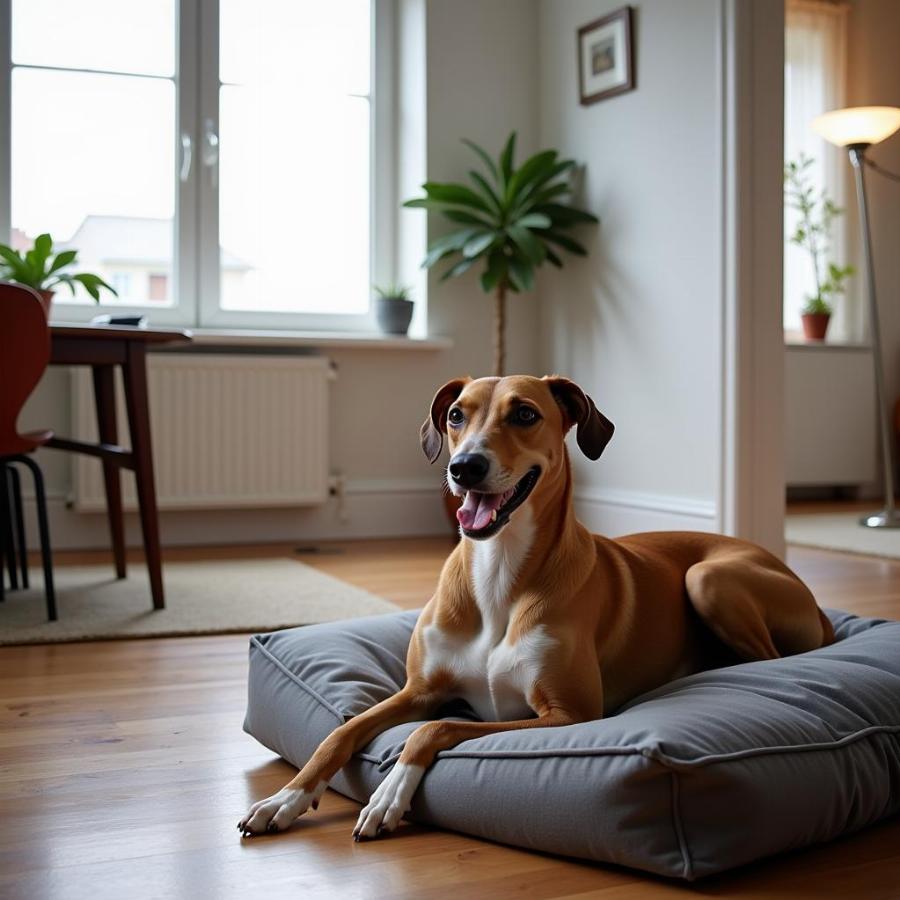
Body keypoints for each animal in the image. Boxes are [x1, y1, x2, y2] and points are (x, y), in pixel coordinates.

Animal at [237, 376, 828, 840]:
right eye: (456, 415)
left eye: (525, 414)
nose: (465, 467)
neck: (498, 573)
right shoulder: (418, 690)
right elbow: (339, 733)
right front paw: (284, 799)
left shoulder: (566, 715)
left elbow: (435, 729)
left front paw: (387, 795)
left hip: (708, 578)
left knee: (769, 657)